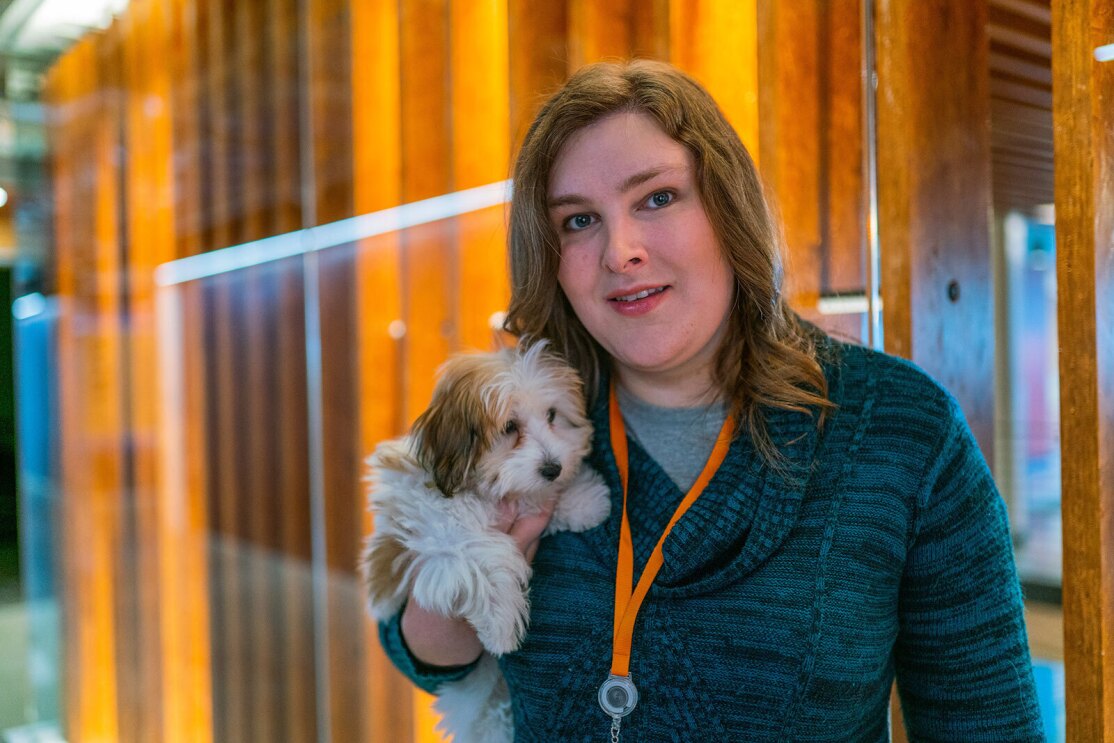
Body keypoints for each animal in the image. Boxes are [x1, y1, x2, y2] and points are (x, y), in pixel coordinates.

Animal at [360, 340, 610, 743]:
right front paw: (502, 622)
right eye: (509, 427)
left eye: (552, 415)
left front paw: (583, 499)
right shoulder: (441, 537)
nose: (553, 468)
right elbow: (486, 553)